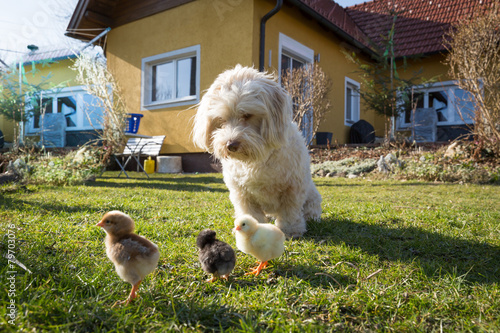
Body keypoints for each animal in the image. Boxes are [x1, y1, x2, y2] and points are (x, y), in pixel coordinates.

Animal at [193, 65, 322, 236]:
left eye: (247, 115)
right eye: (221, 119)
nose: (231, 145)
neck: (256, 158)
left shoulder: (293, 187)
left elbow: (290, 210)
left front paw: (290, 230)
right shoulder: (241, 192)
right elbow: (250, 212)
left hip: (312, 196)